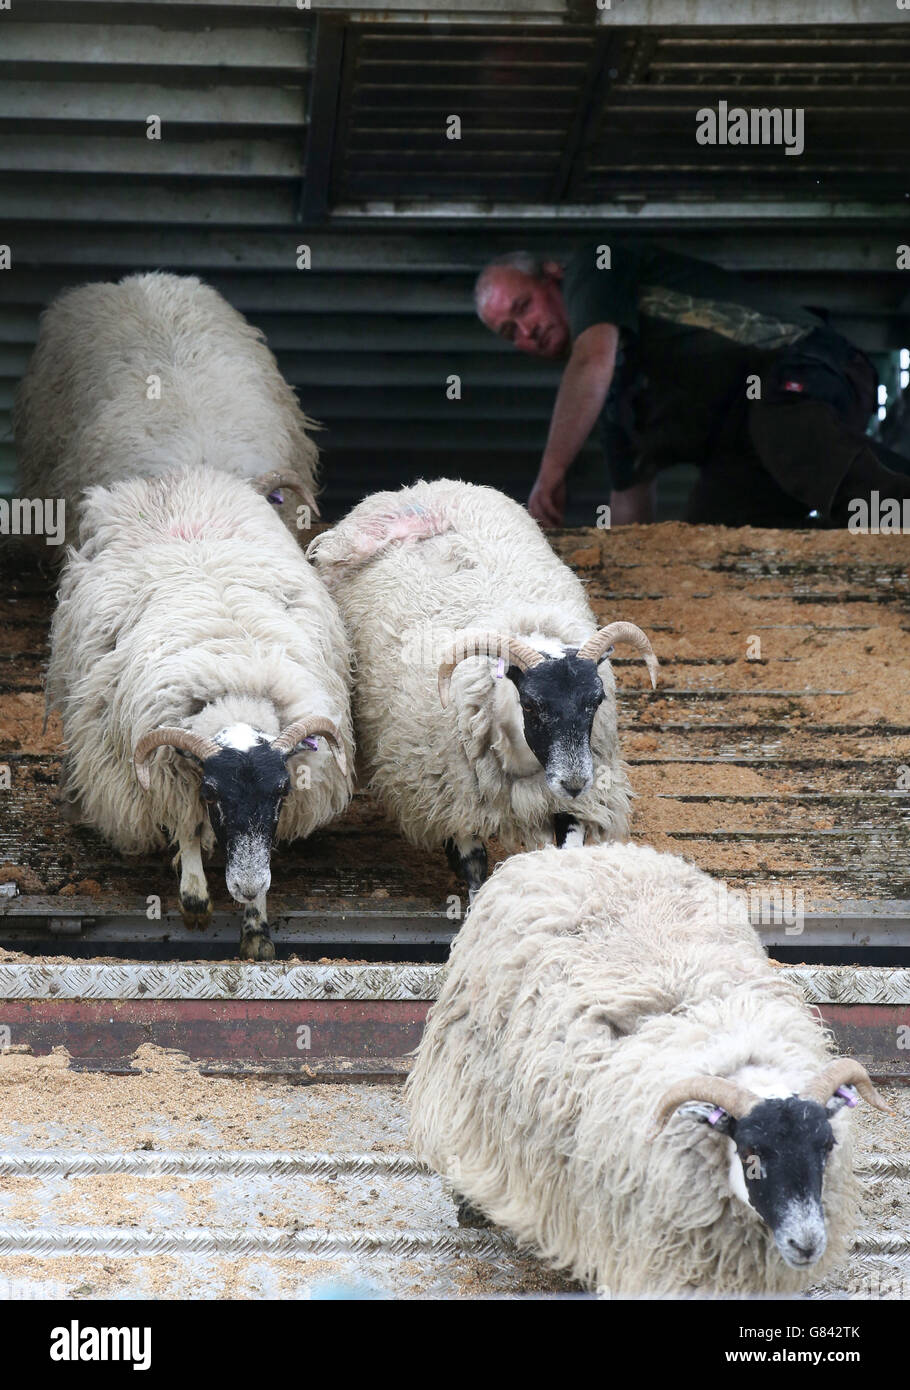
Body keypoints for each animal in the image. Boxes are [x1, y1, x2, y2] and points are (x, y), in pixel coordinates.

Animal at [46, 461, 354, 961]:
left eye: (283, 791)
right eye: (212, 794)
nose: (246, 888)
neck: (235, 687)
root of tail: (172, 476)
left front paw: (256, 926)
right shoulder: (169, 773)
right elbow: (187, 826)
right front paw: (195, 898)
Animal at [309, 480, 658, 900]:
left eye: (596, 701)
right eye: (532, 704)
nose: (574, 783)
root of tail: (418, 491)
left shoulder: (572, 802)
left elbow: (567, 846)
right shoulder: (453, 799)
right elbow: (473, 867)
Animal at [408, 839, 894, 1295]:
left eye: (826, 1146)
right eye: (751, 1152)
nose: (805, 1243)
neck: (740, 1051)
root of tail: (579, 852)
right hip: (466, 1085)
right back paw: (470, 1206)